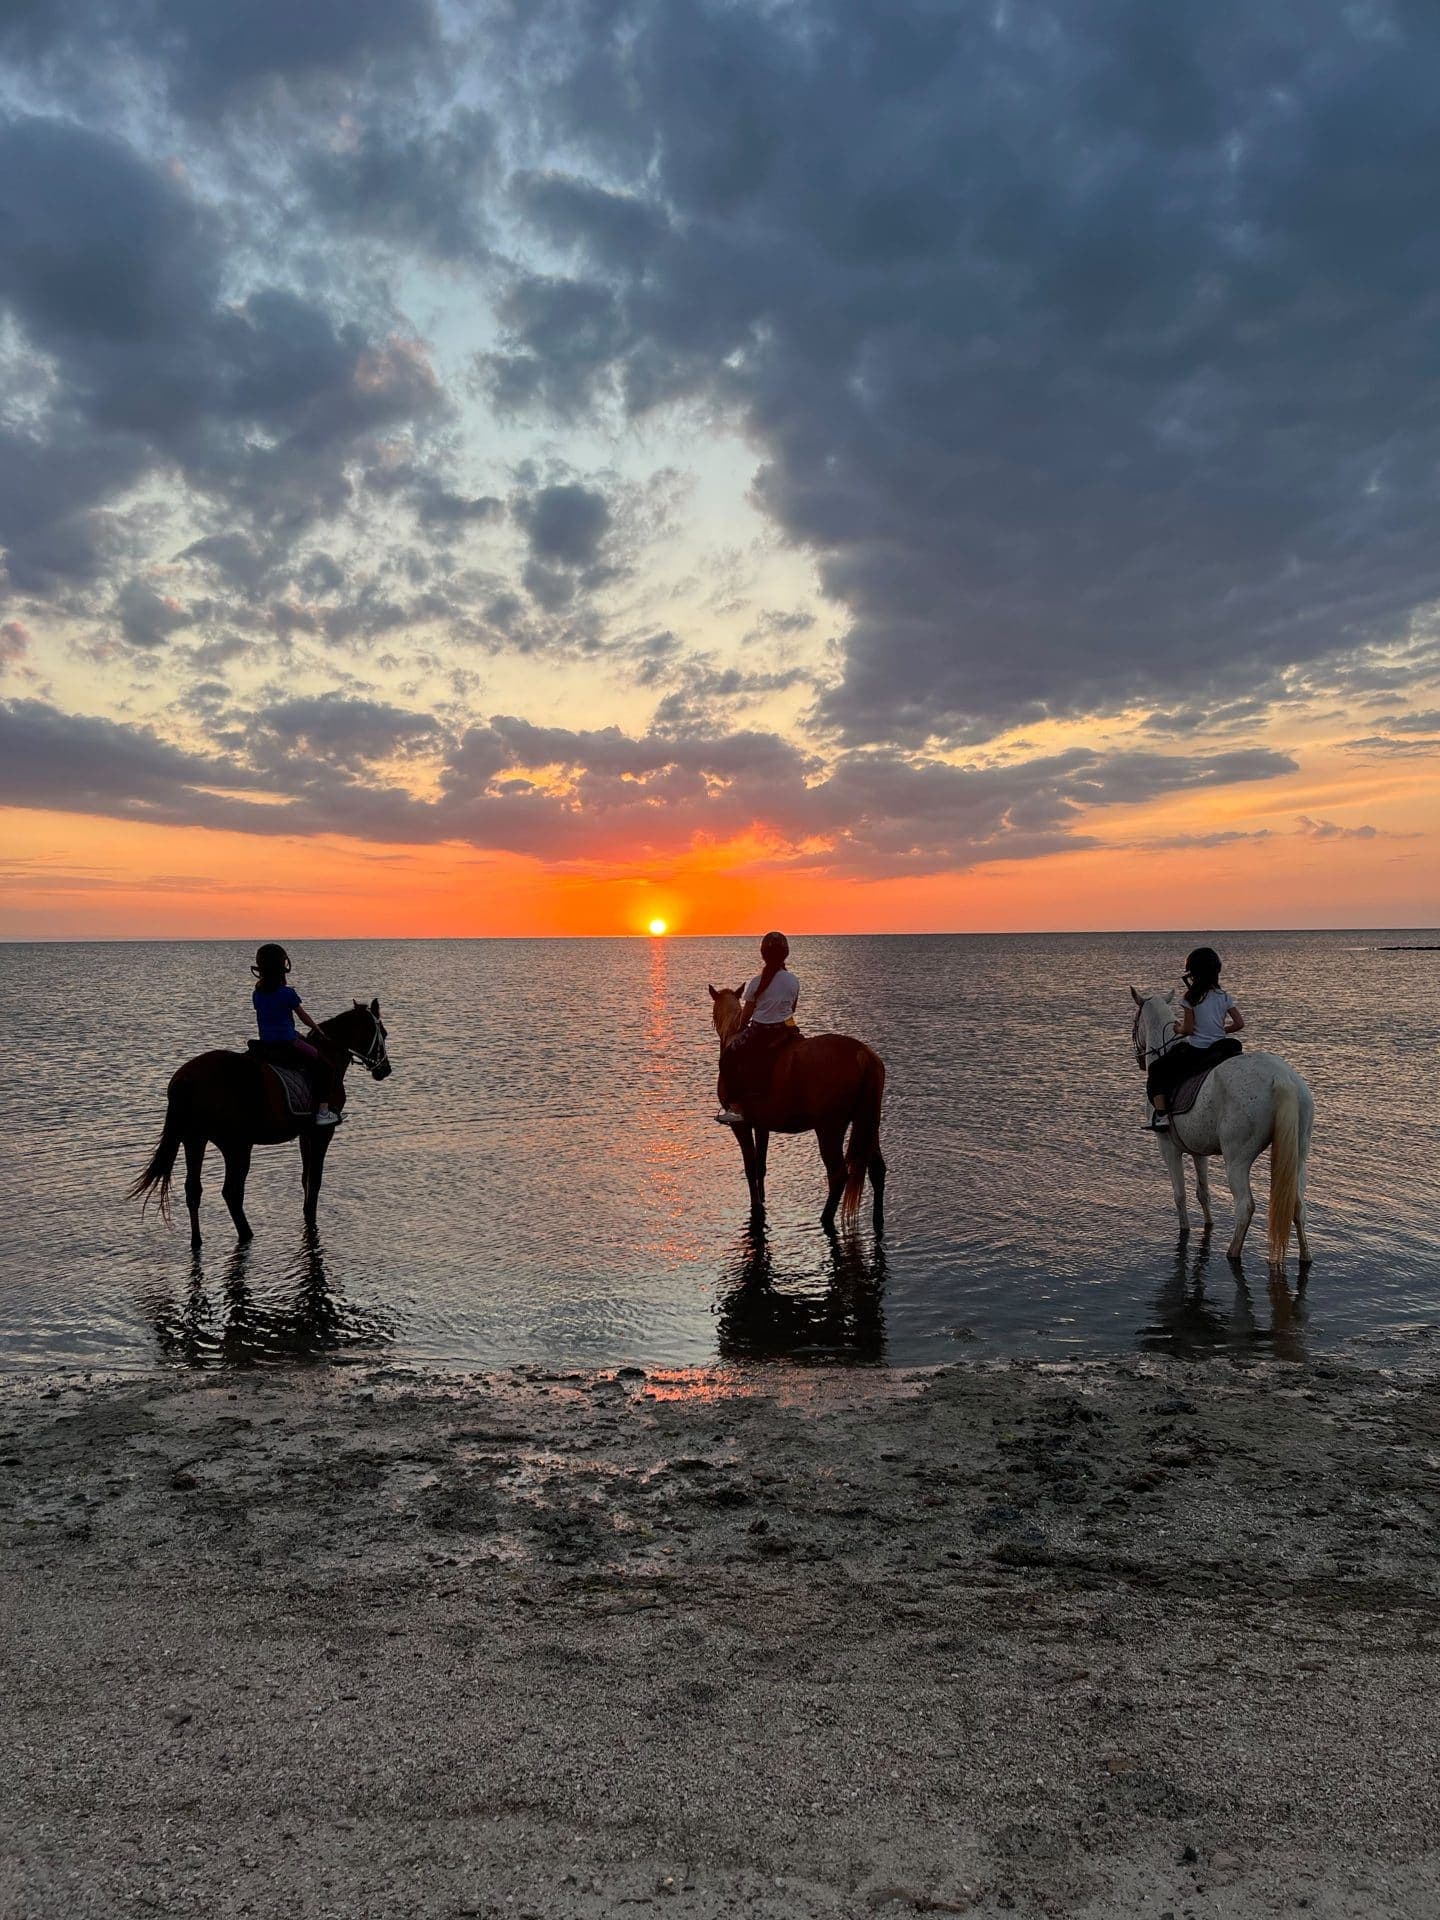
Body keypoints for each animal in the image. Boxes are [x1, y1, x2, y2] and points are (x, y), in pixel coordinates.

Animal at [127, 1000, 391, 1247]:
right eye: (384, 1033)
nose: (385, 1070)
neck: (328, 1053)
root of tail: (186, 1079)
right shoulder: (322, 1132)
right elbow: (315, 1179)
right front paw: (311, 1213)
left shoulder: (305, 1133)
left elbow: (306, 1178)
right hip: (236, 1145)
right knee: (232, 1192)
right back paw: (246, 1234)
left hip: (194, 1139)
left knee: (193, 1190)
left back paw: (197, 1241)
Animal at [708, 986, 886, 1230]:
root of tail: (863, 1054)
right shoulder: (761, 1124)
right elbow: (761, 1165)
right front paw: (762, 1199)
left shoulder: (741, 1125)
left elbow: (750, 1166)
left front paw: (756, 1204)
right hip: (869, 1122)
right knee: (877, 1169)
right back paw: (878, 1219)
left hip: (829, 1128)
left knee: (838, 1175)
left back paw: (825, 1218)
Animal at [1130, 988, 1313, 1266]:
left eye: (1135, 1021)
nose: (1139, 1060)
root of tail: (1281, 1078)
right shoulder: (1198, 1150)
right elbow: (1203, 1192)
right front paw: (1209, 1223)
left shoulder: (1169, 1148)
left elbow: (1180, 1195)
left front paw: (1185, 1229)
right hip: (1299, 1155)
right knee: (1298, 1205)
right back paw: (1306, 1255)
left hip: (1237, 1159)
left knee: (1245, 1206)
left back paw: (1232, 1252)